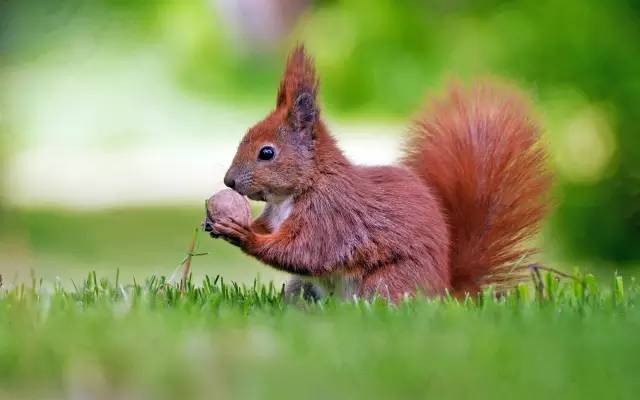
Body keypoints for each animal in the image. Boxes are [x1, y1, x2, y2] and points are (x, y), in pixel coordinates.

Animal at [205, 45, 552, 302]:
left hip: (386, 282)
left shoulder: (332, 217)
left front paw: (244, 235)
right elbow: (270, 231)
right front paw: (221, 223)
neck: (295, 193)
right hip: (302, 287)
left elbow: (304, 252)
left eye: (267, 153)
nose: (228, 181)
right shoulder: (277, 216)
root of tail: (445, 292)